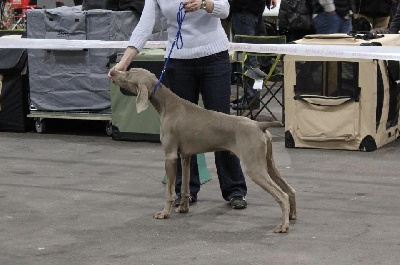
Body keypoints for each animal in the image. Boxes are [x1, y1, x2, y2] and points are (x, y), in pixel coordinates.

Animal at [109, 67, 296, 231]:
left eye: (128, 74)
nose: (113, 72)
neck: (167, 104)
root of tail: (259, 124)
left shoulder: (170, 156)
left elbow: (169, 192)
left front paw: (164, 213)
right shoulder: (185, 156)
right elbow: (185, 187)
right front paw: (183, 208)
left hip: (254, 167)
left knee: (282, 195)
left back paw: (283, 226)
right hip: (268, 163)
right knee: (290, 189)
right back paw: (292, 216)